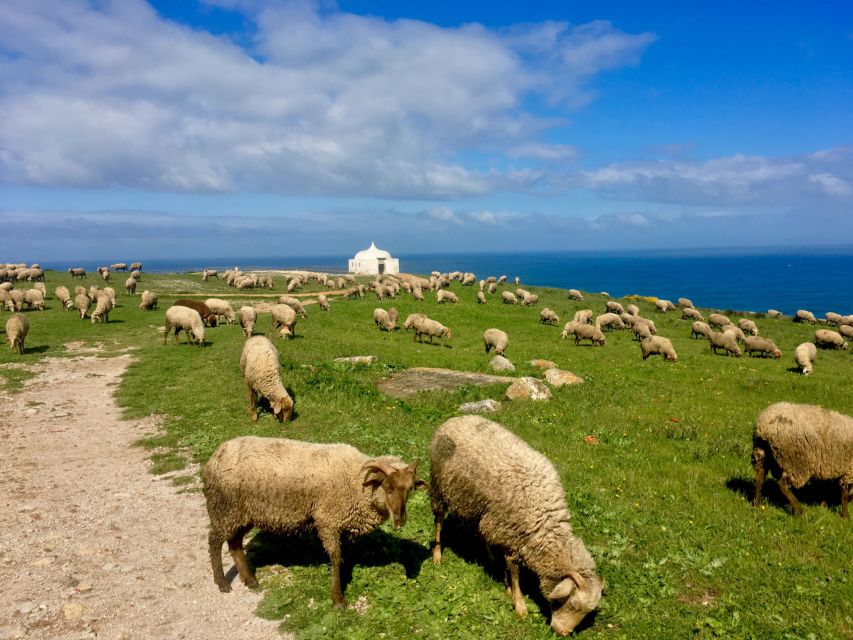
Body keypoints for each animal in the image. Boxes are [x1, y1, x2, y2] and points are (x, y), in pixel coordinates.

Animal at [204, 436, 422, 604]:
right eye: (388, 487)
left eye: (410, 489)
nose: (400, 522)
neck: (355, 480)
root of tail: (216, 454)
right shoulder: (328, 520)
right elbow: (335, 557)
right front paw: (337, 598)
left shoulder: (343, 523)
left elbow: (345, 555)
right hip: (224, 508)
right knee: (214, 541)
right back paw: (222, 582)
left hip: (241, 514)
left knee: (235, 544)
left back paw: (250, 580)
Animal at [430, 416, 604, 636]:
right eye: (573, 605)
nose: (562, 632)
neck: (544, 520)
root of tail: (454, 419)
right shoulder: (512, 534)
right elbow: (514, 572)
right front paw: (519, 604)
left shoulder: (508, 530)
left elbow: (507, 567)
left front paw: (507, 588)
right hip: (439, 485)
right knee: (438, 520)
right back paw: (437, 554)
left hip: (477, 504)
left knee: (480, 530)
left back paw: (489, 557)